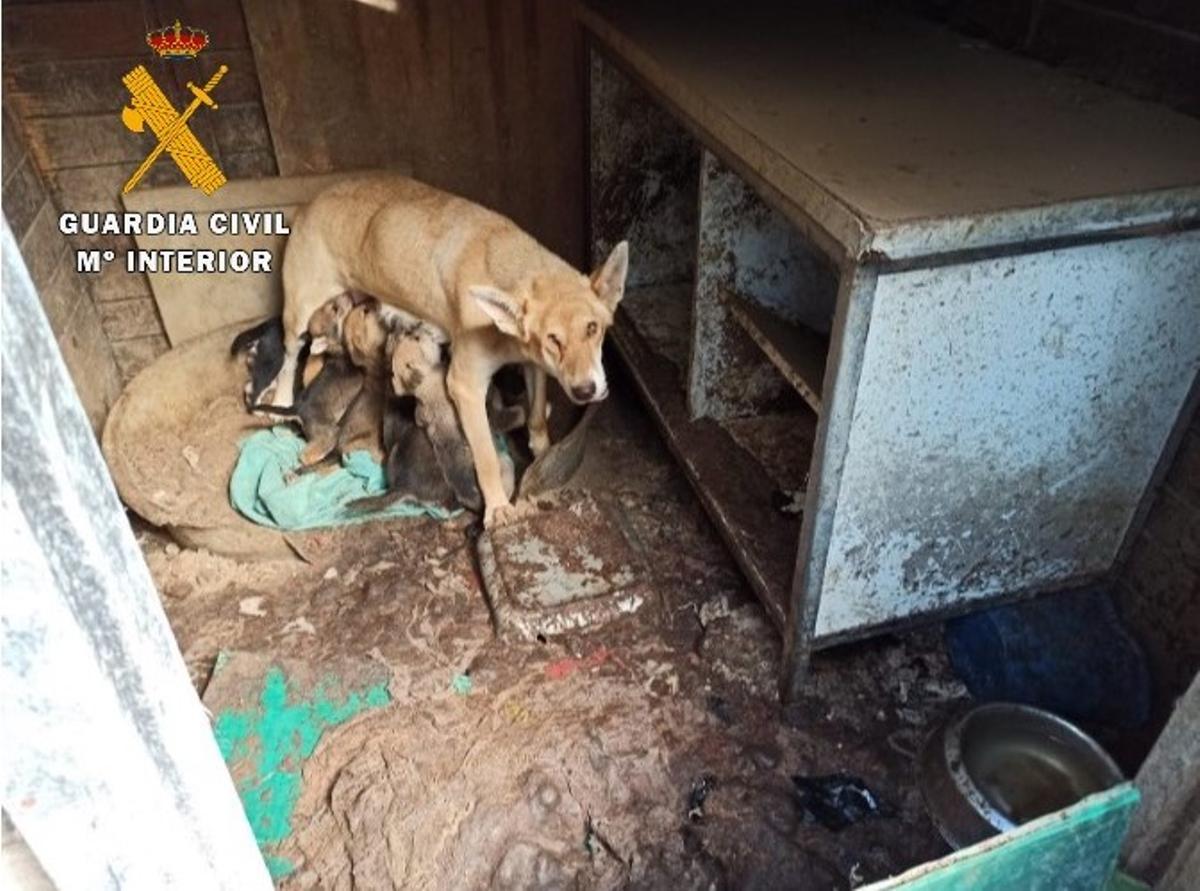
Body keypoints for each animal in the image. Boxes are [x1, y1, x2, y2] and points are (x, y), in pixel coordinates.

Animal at [256, 174, 629, 527]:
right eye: (554, 339)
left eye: (593, 328)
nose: (586, 391)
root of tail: (310, 202)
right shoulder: (464, 386)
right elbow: (486, 456)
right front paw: (497, 508)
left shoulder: (532, 363)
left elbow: (536, 418)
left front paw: (546, 456)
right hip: (299, 314)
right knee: (291, 358)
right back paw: (280, 400)